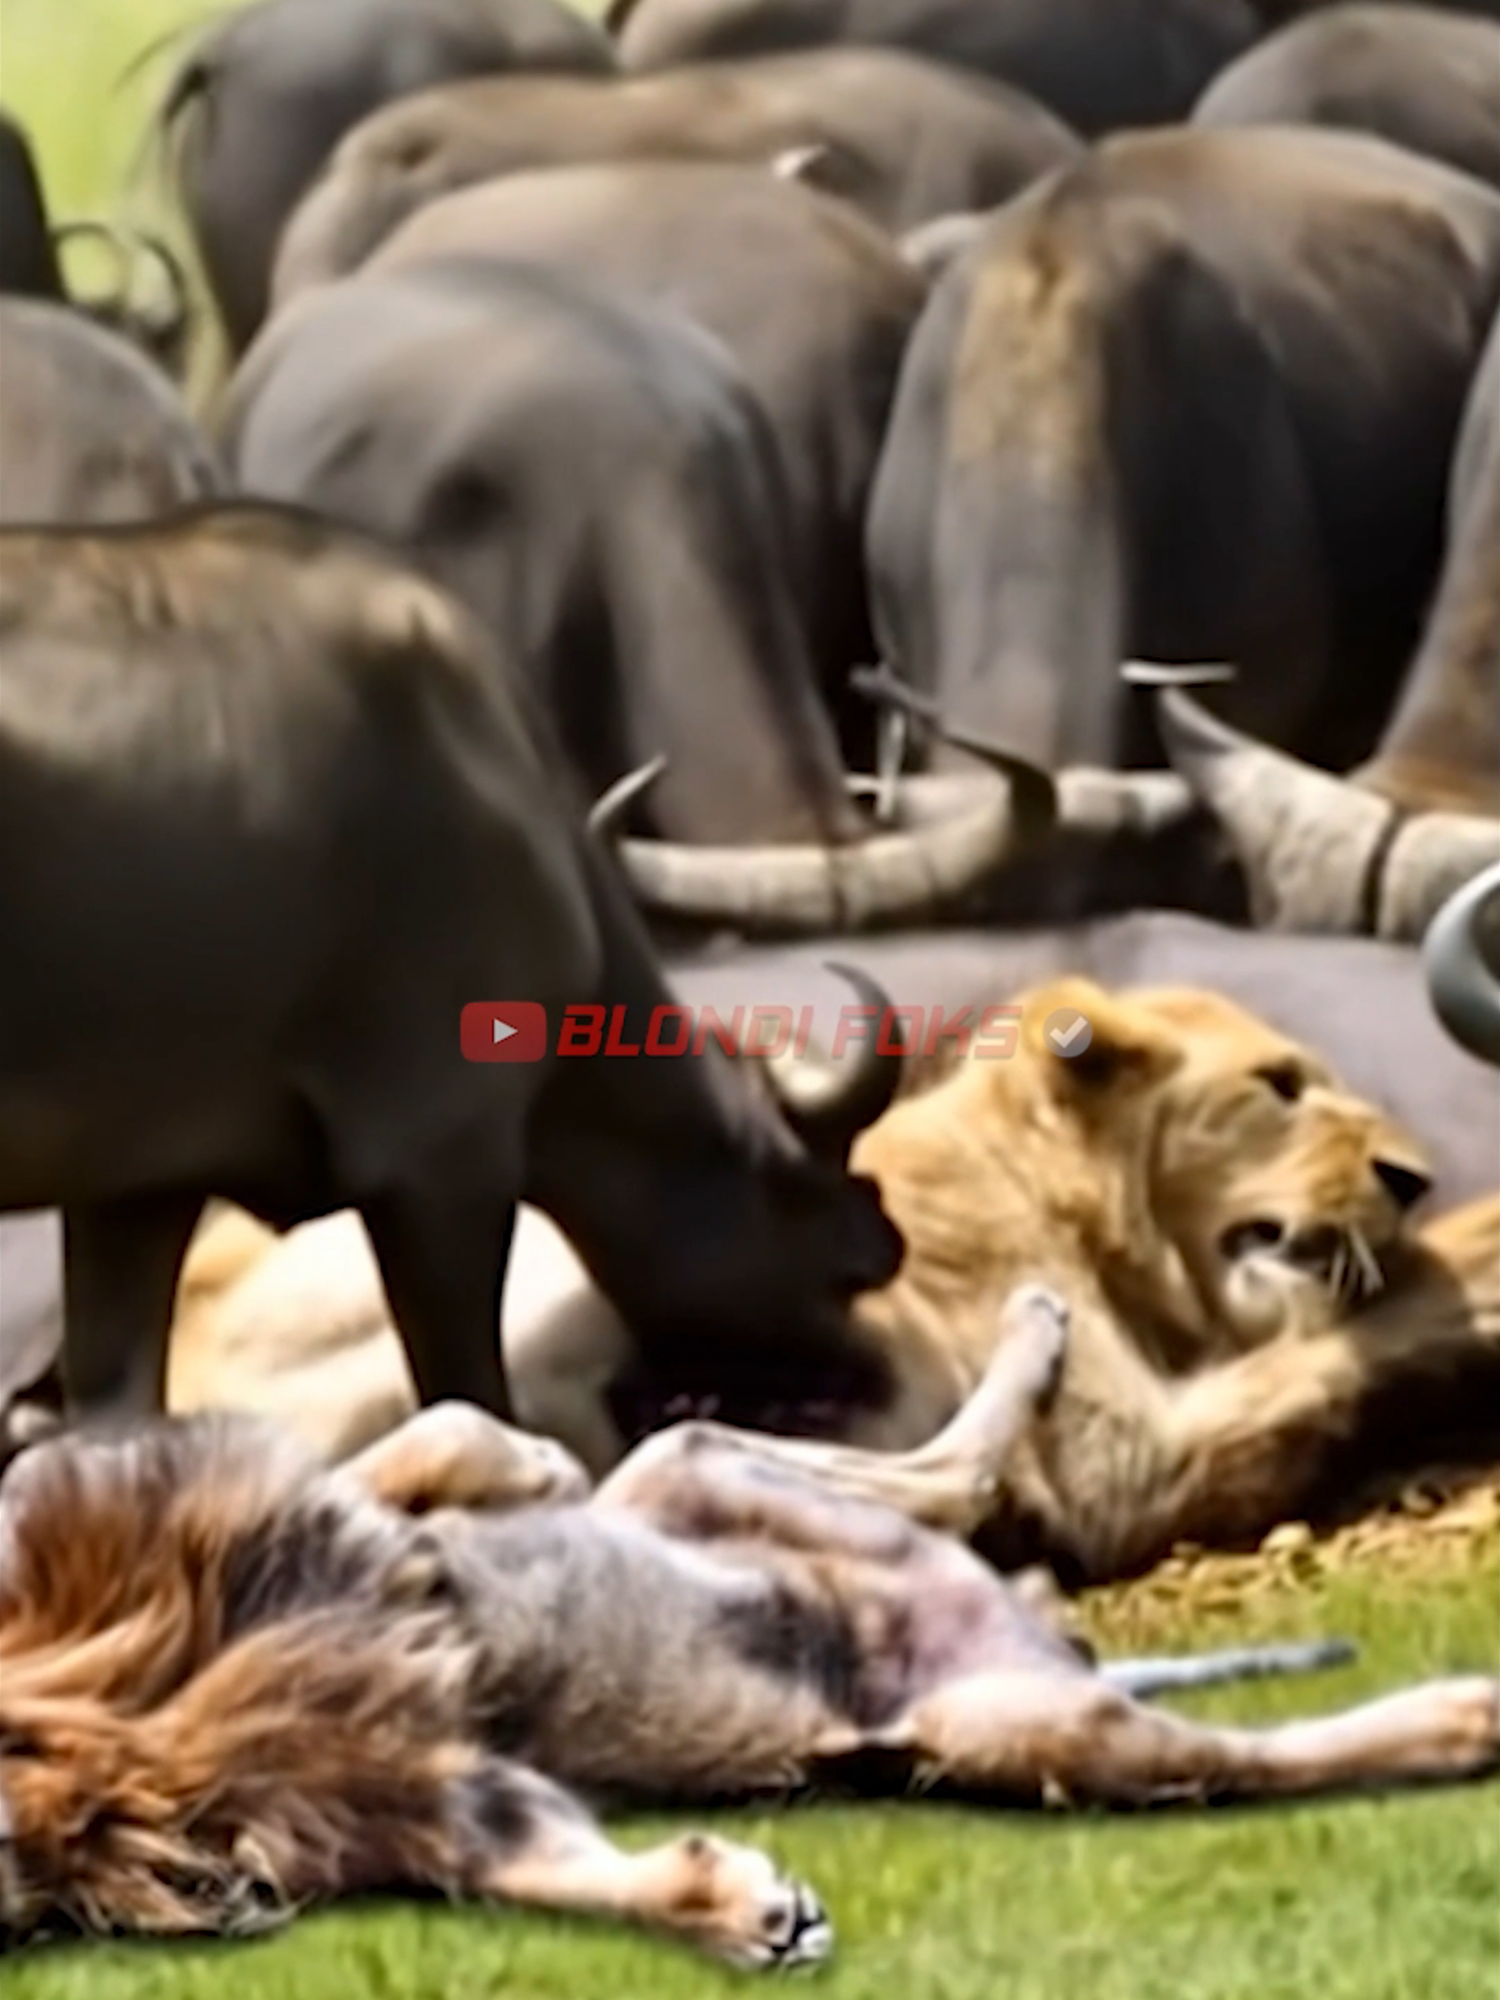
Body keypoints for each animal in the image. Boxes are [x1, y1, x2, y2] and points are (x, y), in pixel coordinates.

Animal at [38, 977, 1494, 1586]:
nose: (1409, 1173)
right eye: (1278, 1085)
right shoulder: (1128, 1459)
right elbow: (1344, 1351)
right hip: (550, 1254)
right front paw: (1466, 1274)